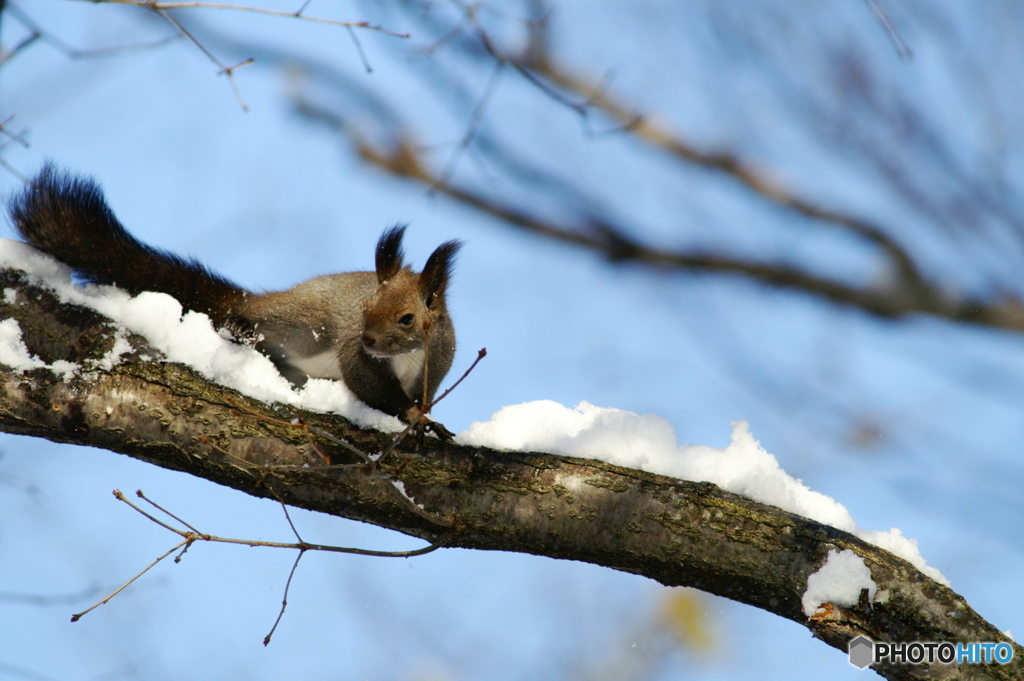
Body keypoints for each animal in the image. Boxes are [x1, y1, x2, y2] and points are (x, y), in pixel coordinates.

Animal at [9, 166, 460, 438]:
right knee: (250, 324)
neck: (406, 356)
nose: (368, 339)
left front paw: (425, 415)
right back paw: (243, 330)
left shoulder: (437, 365)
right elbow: (372, 387)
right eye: (365, 308)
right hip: (305, 328)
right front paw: (413, 416)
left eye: (407, 318)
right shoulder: (357, 355)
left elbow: (419, 394)